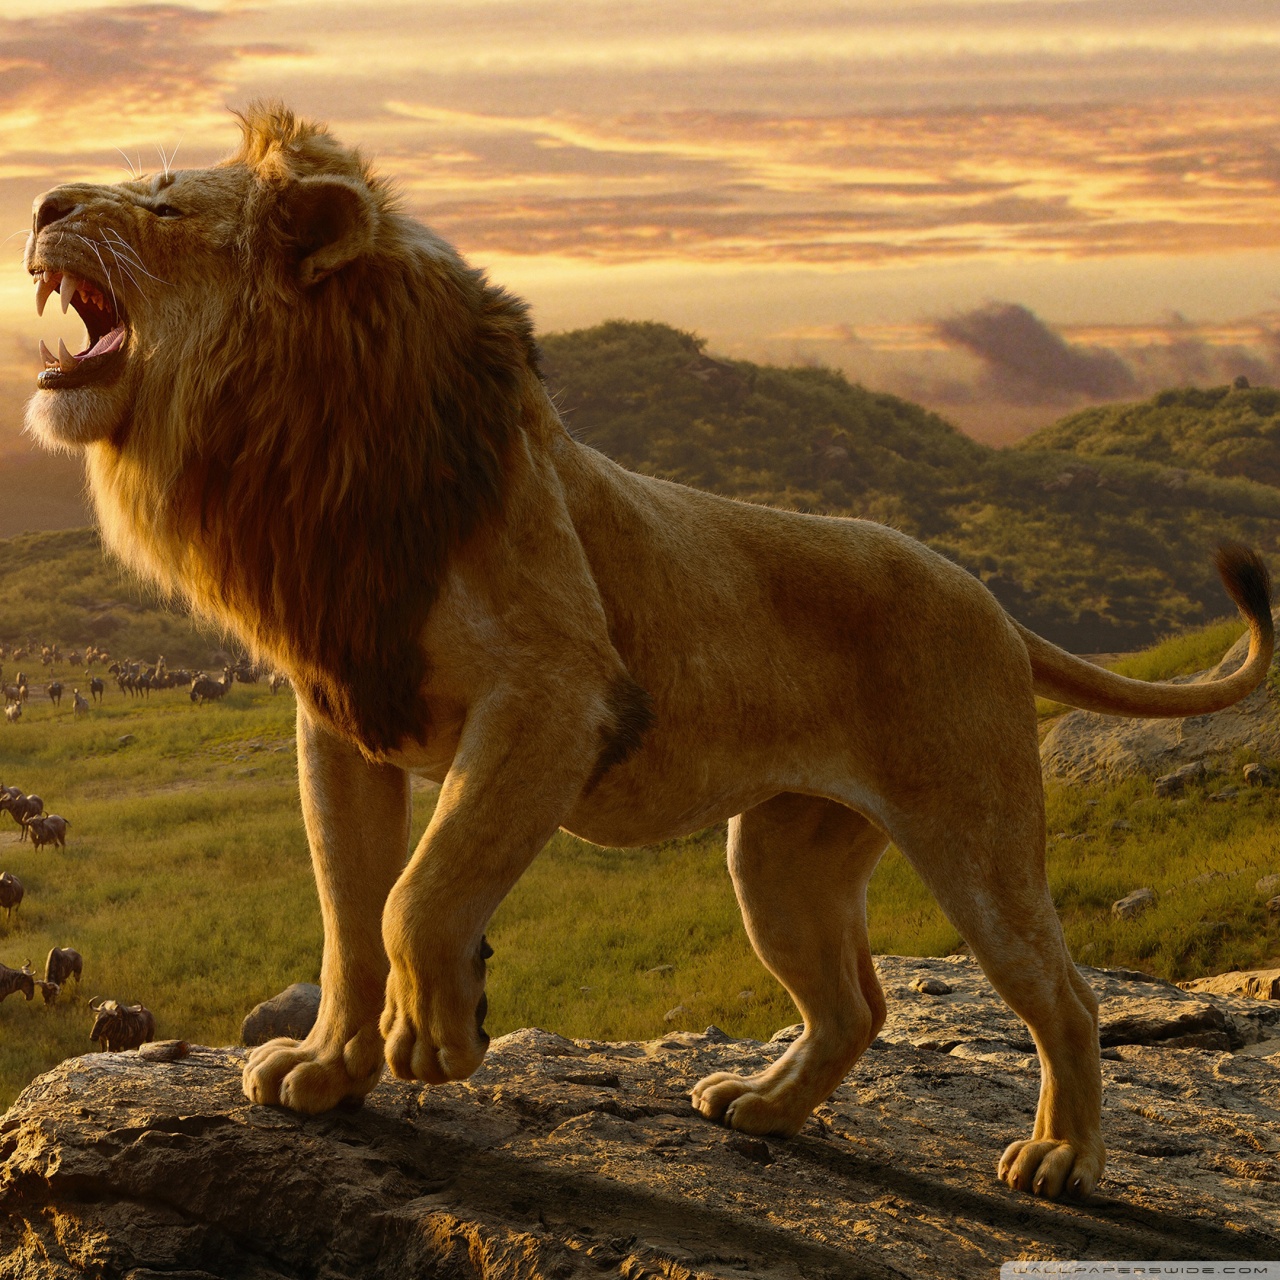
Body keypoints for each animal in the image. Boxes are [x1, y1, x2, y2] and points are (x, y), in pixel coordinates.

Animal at [23, 103, 1273, 1202]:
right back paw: (761, 1106)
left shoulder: (556, 693)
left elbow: (417, 894)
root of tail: (990, 600)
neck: (301, 450)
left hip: (974, 835)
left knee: (1060, 993)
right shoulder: (342, 714)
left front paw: (437, 1036)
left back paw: (1061, 1157)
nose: (38, 202)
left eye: (164, 205)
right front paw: (328, 1070)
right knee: (853, 1004)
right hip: (779, 857)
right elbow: (346, 913)